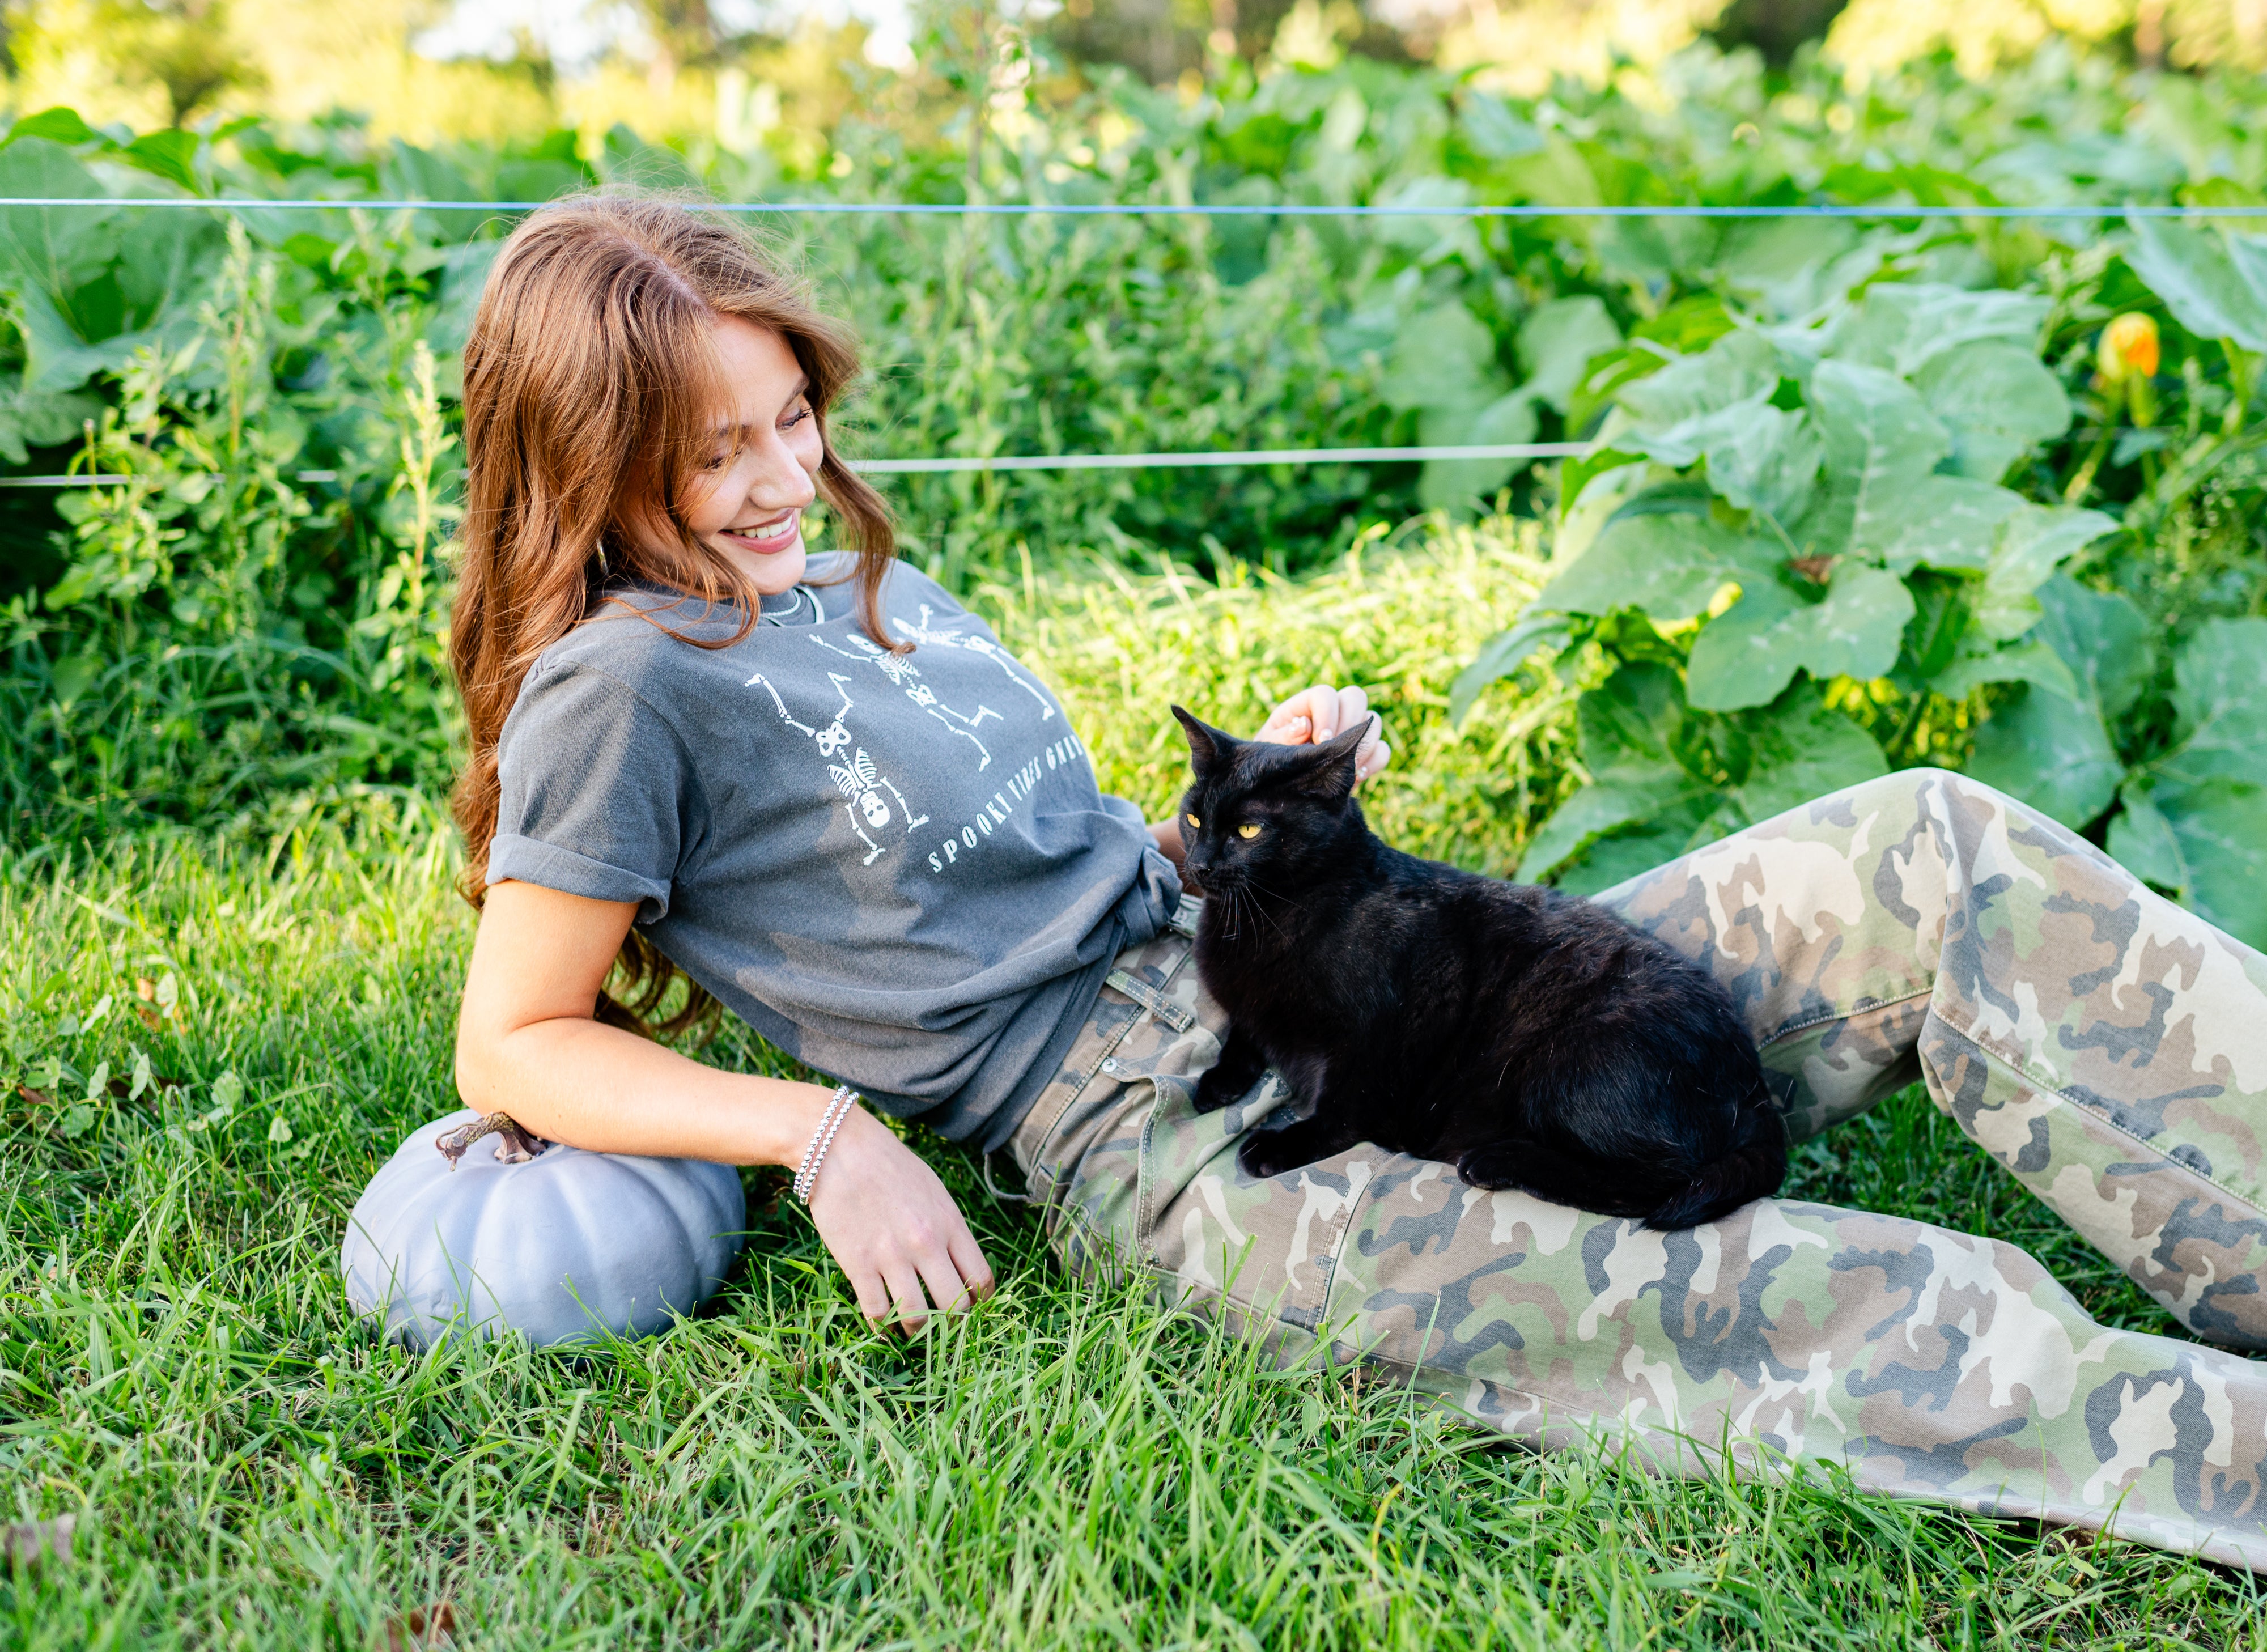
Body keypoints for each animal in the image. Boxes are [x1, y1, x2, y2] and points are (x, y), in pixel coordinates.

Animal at [1170, 702, 1786, 1233]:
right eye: (1194, 817)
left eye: (1249, 831)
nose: (1200, 865)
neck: (1263, 918)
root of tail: (1752, 1086)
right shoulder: (1253, 1005)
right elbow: (1243, 1030)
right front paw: (1219, 1080)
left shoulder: (1372, 1041)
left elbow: (1340, 1112)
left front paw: (1282, 1144)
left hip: (1567, 1068)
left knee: (1661, 1179)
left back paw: (1497, 1160)